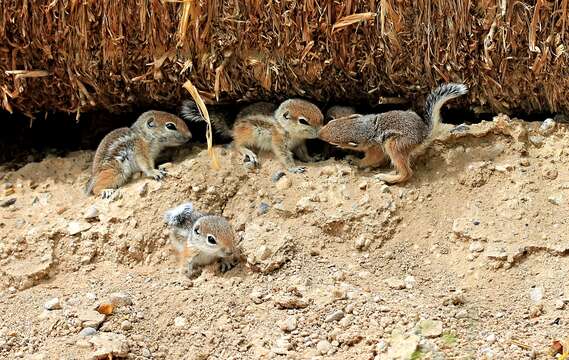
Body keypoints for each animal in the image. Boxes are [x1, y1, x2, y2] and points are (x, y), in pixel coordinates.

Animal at [182, 97, 324, 172]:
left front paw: (312, 158)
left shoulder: (300, 144)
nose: (320, 131)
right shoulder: (278, 141)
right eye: (303, 121)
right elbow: (285, 156)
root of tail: (233, 127)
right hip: (249, 132)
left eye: (320, 114)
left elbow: (304, 154)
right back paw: (249, 152)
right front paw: (294, 168)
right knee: (236, 144)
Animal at [316, 83, 466, 184]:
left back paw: (386, 177)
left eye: (334, 142)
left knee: (407, 173)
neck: (367, 127)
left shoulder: (376, 148)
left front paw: (354, 160)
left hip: (394, 145)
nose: (319, 134)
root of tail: (424, 133)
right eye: (331, 122)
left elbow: (370, 159)